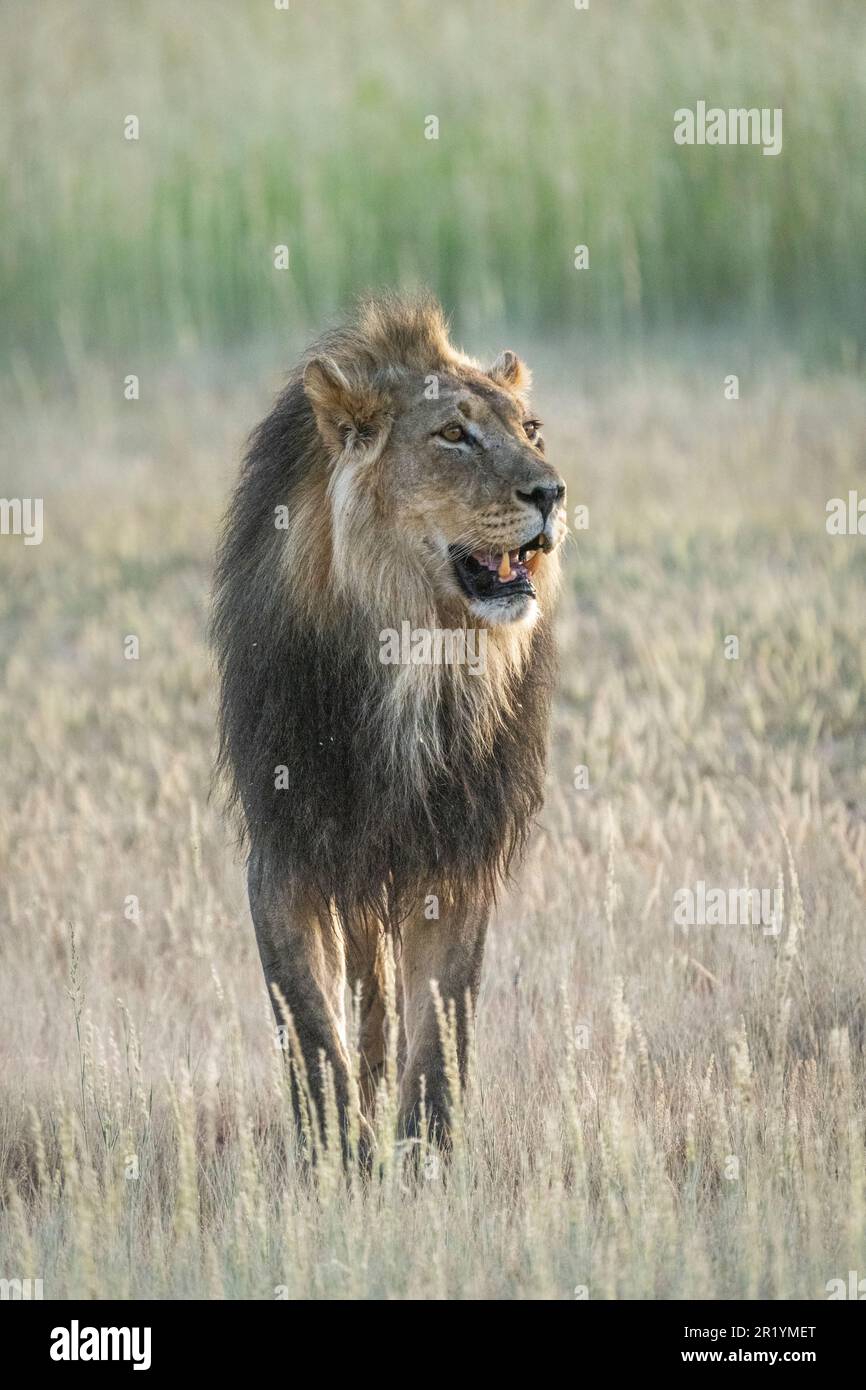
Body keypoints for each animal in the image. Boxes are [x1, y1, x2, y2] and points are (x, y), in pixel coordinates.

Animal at [212, 293, 567, 1150]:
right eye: (453, 435)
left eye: (531, 430)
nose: (552, 492)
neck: (416, 650)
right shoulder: (287, 850)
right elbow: (310, 1025)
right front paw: (335, 1151)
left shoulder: (456, 851)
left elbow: (442, 1024)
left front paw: (425, 1152)